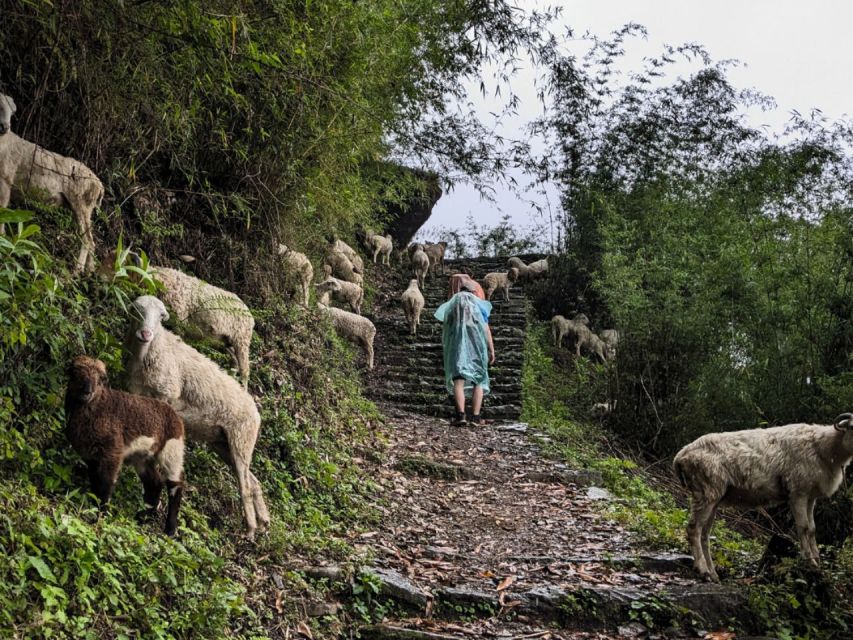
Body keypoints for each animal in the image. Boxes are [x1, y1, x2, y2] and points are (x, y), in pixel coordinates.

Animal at [0, 91, 104, 272]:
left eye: (11, 112)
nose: (5, 127)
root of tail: (99, 185)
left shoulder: (5, 180)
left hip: (81, 203)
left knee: (88, 241)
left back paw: (77, 270)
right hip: (84, 208)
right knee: (91, 240)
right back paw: (90, 270)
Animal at [65, 356, 186, 536]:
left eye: (100, 378)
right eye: (75, 373)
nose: (87, 391)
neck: (99, 406)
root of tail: (177, 418)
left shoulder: (113, 451)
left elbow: (106, 483)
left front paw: (100, 517)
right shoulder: (90, 455)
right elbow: (94, 482)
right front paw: (93, 510)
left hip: (172, 450)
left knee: (175, 484)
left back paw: (170, 530)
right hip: (142, 457)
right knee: (154, 482)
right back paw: (142, 518)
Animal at [123, 298, 268, 536]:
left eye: (162, 316)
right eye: (137, 309)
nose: (145, 333)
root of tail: (256, 411)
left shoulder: (166, 394)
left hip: (241, 441)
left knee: (245, 487)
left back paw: (250, 530)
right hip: (224, 444)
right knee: (253, 481)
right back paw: (263, 522)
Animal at [676, 418, 852, 584]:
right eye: (851, 427)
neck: (823, 448)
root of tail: (680, 456)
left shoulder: (810, 496)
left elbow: (812, 529)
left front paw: (817, 561)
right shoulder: (798, 493)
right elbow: (803, 528)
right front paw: (810, 562)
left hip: (714, 497)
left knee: (705, 534)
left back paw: (713, 574)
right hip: (705, 493)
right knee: (694, 529)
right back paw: (702, 570)